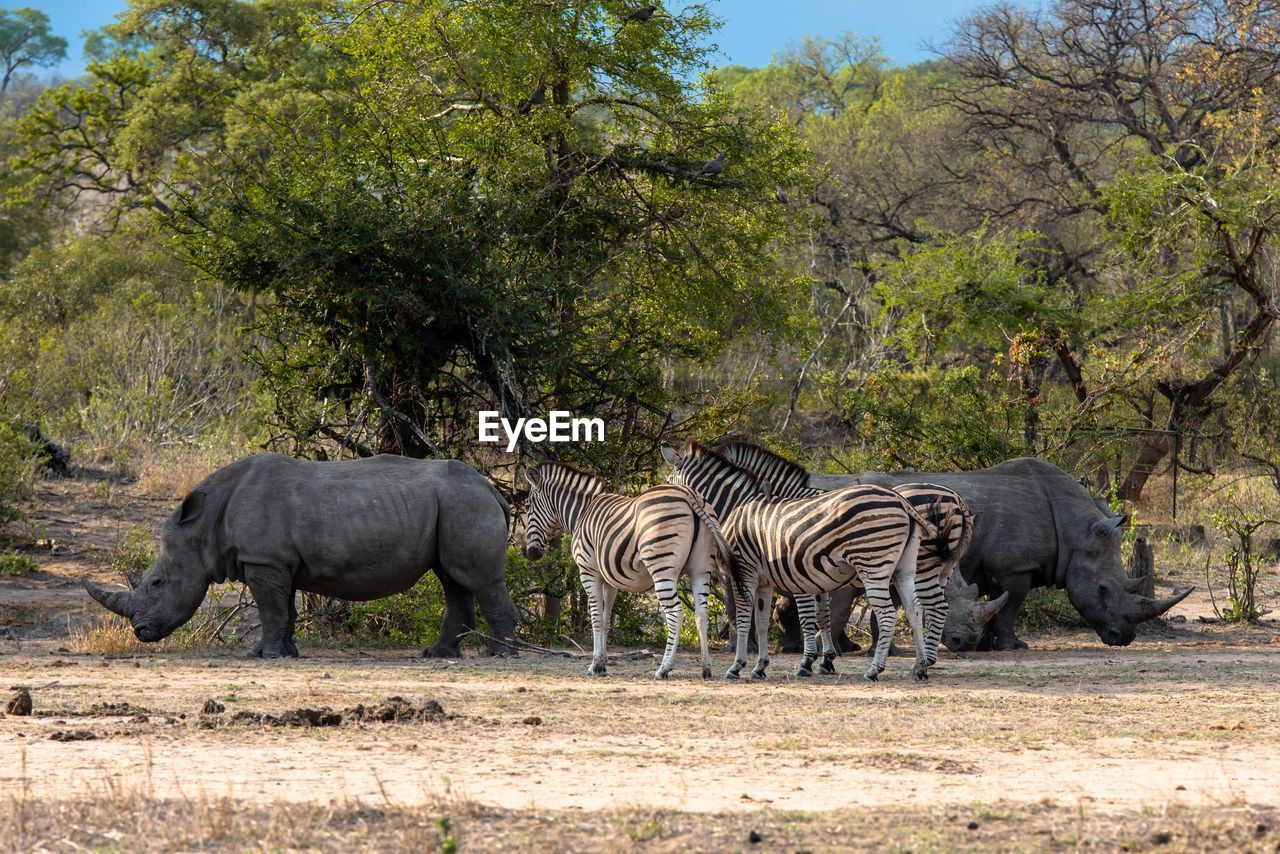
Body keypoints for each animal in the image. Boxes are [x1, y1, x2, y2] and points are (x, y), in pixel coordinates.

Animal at [519, 460, 732, 681]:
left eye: (527, 506)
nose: (528, 552)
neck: (581, 512)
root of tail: (688, 493)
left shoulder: (588, 572)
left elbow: (596, 617)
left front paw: (594, 664)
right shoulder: (610, 580)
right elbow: (606, 619)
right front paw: (602, 665)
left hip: (662, 568)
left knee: (675, 612)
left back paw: (664, 668)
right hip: (700, 570)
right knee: (701, 614)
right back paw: (706, 668)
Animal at [665, 440, 936, 681]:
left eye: (668, 482)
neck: (740, 505)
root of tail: (901, 501)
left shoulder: (771, 571)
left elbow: (777, 617)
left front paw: (801, 662)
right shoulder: (781, 577)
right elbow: (777, 620)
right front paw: (818, 661)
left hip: (875, 566)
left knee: (891, 614)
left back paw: (875, 670)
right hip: (903, 570)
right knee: (915, 609)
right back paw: (919, 668)